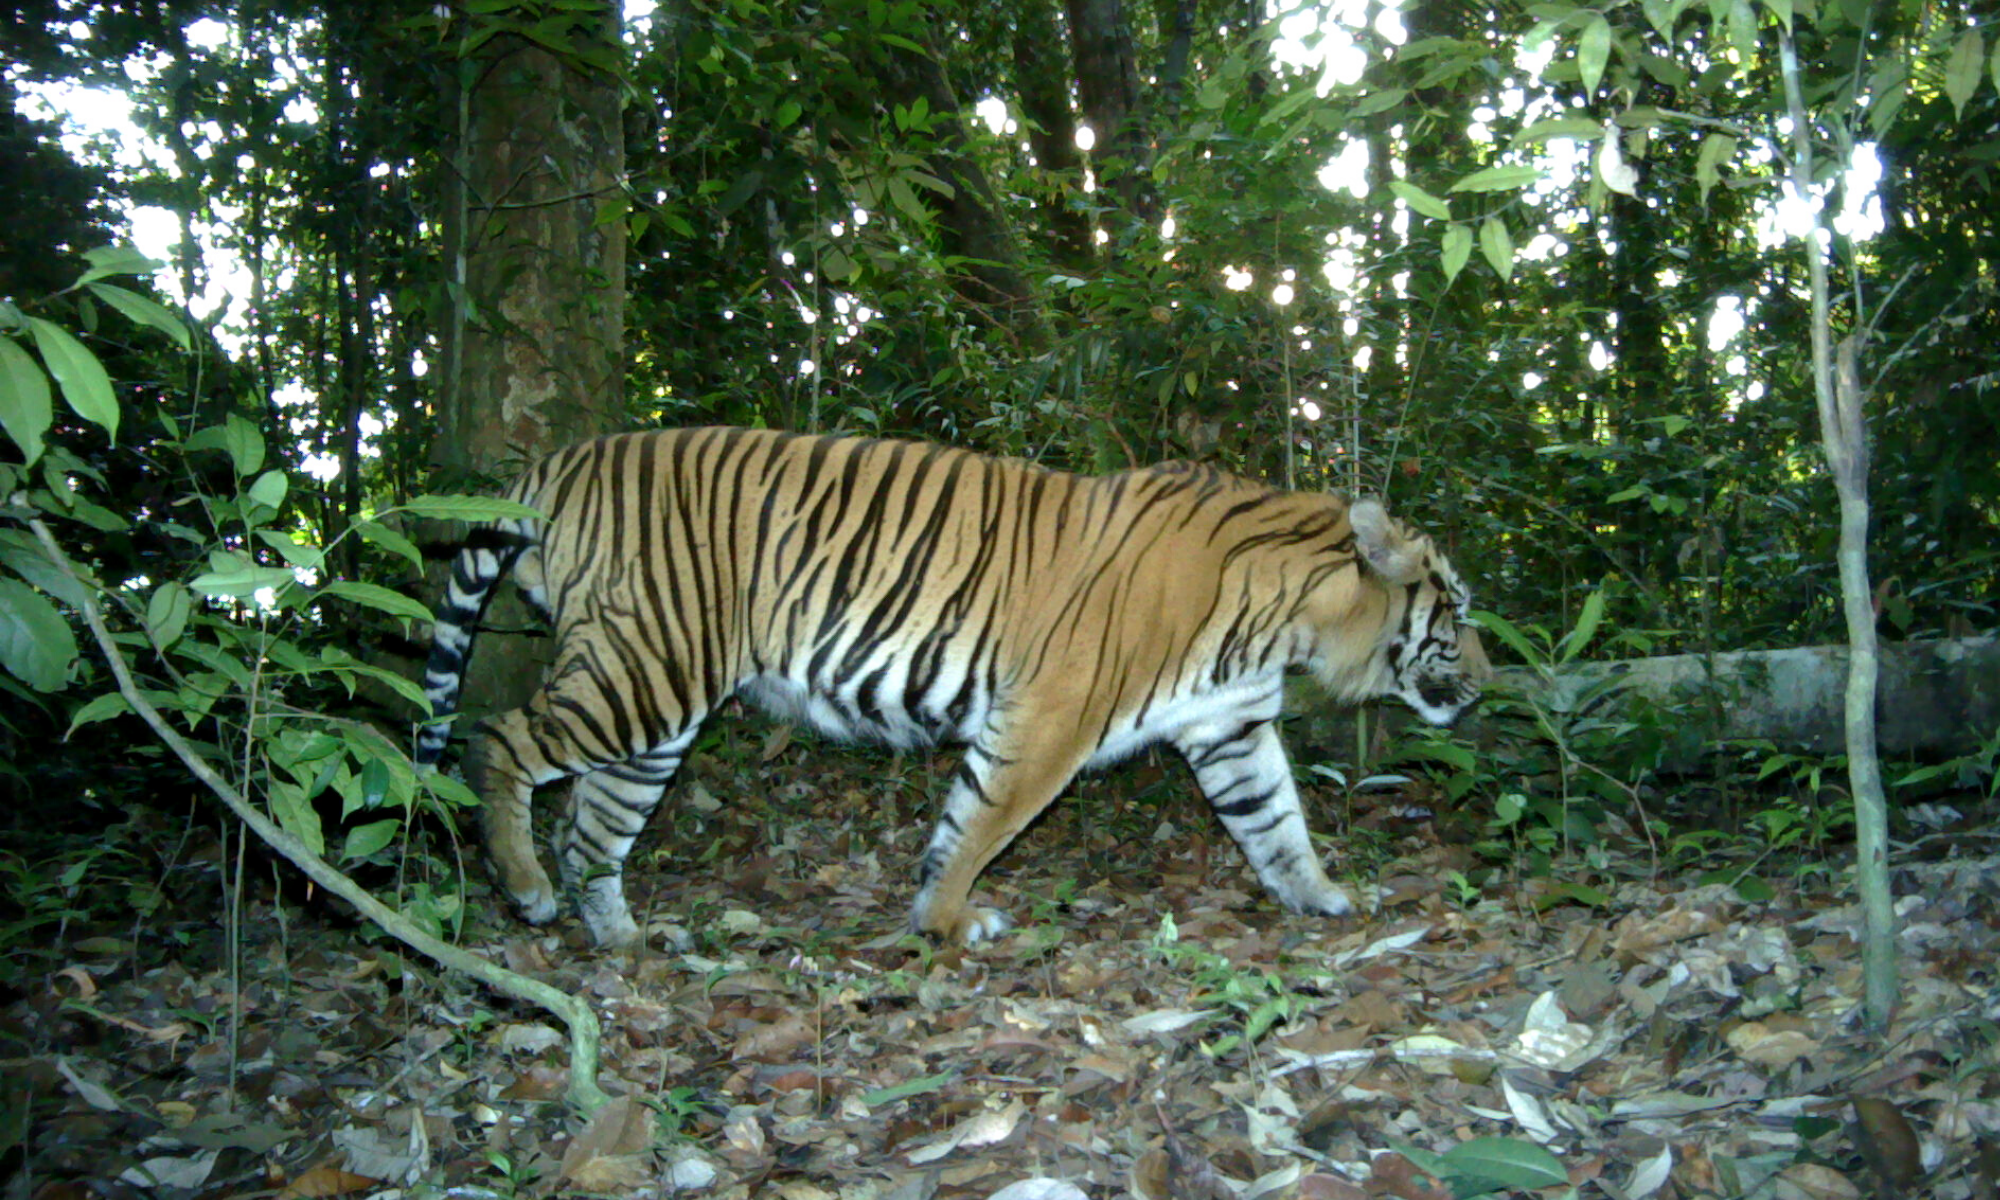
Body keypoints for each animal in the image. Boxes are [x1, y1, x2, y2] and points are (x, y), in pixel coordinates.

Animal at [418, 424, 1488, 948]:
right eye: (1462, 612)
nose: (1489, 679)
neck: (1286, 616)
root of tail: (553, 463)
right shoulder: (1051, 716)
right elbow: (981, 821)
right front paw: (945, 921)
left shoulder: (1229, 726)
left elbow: (1275, 821)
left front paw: (1324, 897)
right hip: (646, 668)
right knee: (497, 740)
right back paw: (525, 889)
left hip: (656, 707)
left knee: (595, 821)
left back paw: (620, 937)